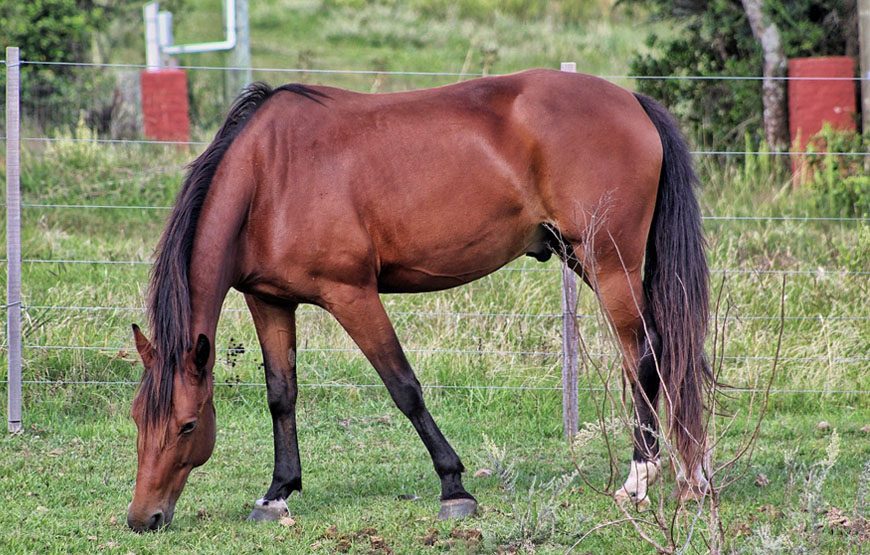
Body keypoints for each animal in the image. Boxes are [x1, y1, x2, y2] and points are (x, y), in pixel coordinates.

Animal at [124, 69, 708, 536]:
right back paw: (691, 476)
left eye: (188, 425)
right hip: (582, 257)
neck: (269, 177)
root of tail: (631, 100)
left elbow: (403, 387)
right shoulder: (269, 302)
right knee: (663, 354)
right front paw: (277, 493)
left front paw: (455, 487)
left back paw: (642, 480)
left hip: (609, 262)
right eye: (136, 420)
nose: (144, 518)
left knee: (645, 354)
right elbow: (281, 395)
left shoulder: (352, 295)